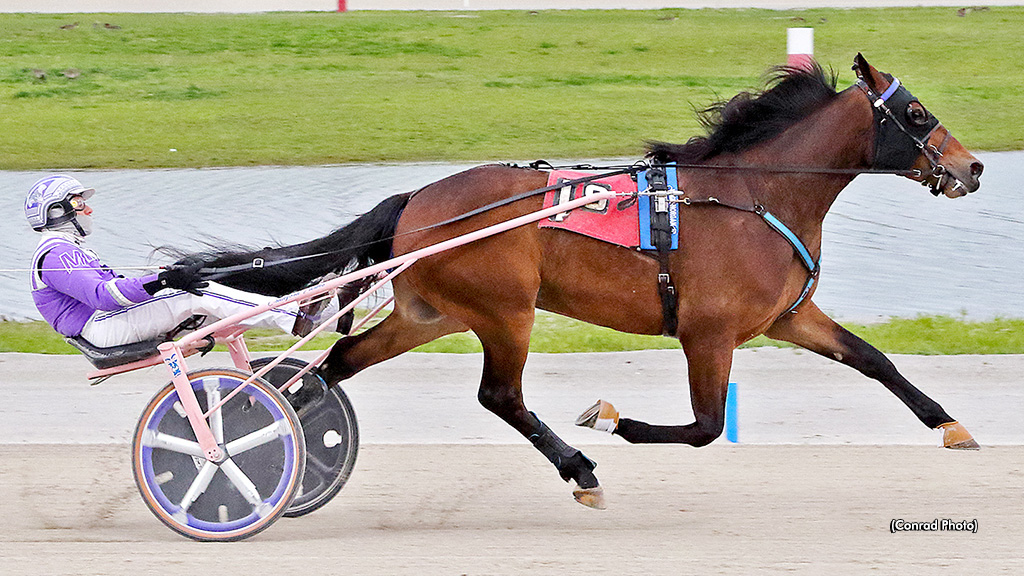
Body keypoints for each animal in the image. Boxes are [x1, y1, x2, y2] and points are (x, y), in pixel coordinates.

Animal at [192, 54, 984, 509]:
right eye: (916, 113)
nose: (972, 167)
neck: (753, 193)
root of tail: (418, 200)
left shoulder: (787, 316)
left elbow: (874, 360)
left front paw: (951, 425)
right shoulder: (709, 331)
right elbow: (703, 426)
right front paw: (608, 417)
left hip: (431, 313)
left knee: (332, 366)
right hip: (505, 311)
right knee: (499, 396)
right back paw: (579, 469)